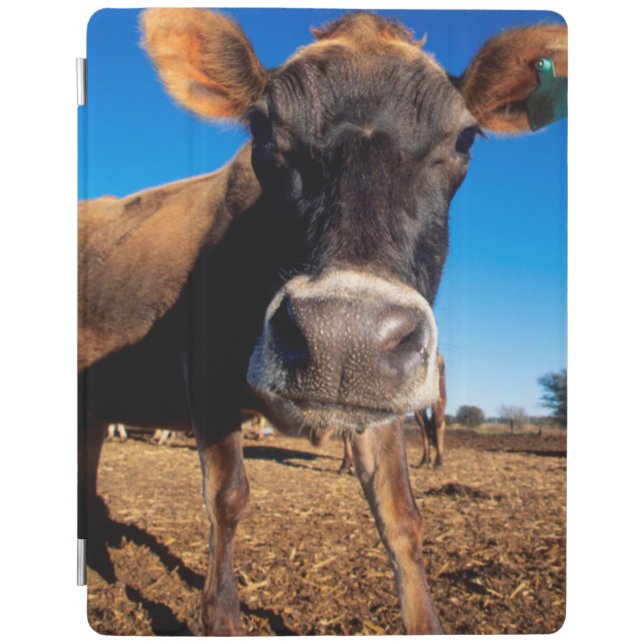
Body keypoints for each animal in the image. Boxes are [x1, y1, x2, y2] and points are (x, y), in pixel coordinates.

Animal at [78, 9, 566, 635]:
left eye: (464, 137)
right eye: (260, 126)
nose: (344, 338)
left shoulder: (381, 393)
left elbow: (400, 514)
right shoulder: (204, 364)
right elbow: (226, 496)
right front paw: (221, 617)